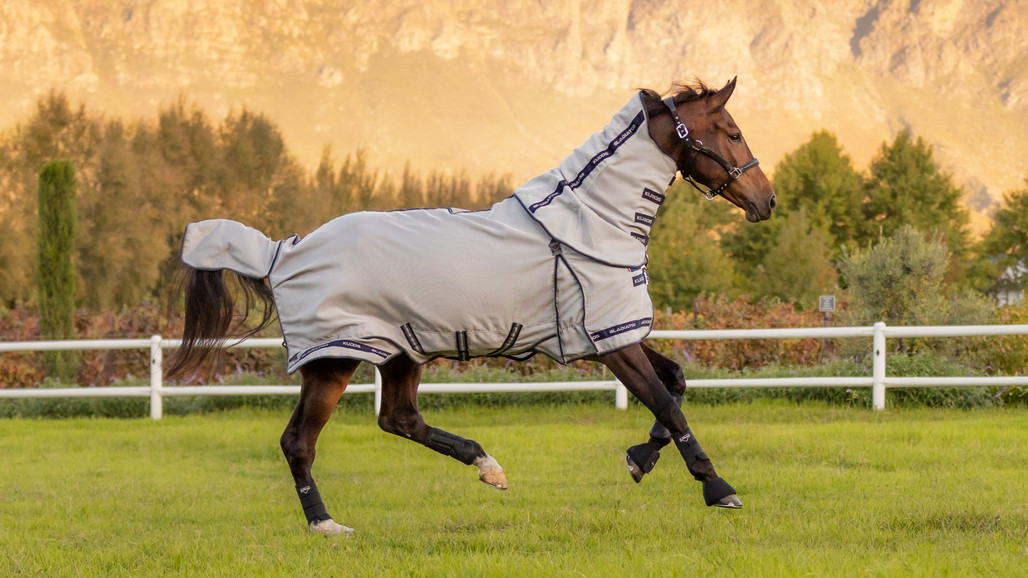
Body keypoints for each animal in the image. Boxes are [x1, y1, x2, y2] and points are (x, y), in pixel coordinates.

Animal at [168, 77, 773, 534]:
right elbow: (667, 404)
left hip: (401, 352)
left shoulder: (617, 333)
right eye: (733, 132)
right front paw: (718, 488)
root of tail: (281, 251)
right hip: (335, 359)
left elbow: (674, 385)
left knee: (399, 419)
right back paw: (326, 524)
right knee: (299, 442)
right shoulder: (610, 343)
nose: (766, 200)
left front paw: (638, 461)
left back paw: (489, 468)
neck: (589, 225)